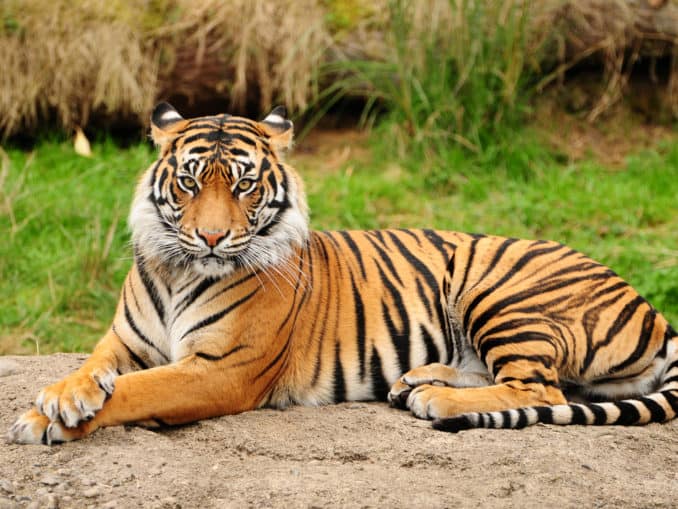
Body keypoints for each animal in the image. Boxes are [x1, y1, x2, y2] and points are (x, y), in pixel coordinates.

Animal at [7, 103, 678, 444]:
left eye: (244, 185)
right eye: (191, 182)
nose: (212, 237)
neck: (178, 271)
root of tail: (650, 307)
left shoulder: (222, 369)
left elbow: (141, 390)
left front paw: (44, 419)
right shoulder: (123, 341)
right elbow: (93, 369)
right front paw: (62, 396)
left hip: (500, 291)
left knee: (541, 389)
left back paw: (433, 397)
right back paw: (417, 380)